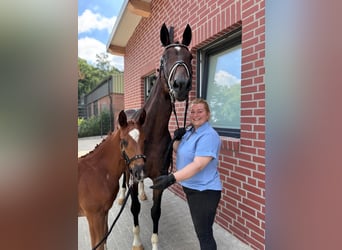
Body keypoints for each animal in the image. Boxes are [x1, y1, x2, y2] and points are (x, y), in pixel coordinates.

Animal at [78, 110, 146, 250]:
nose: (140, 172)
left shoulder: (104, 212)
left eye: (144, 140)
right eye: (124, 141)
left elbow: (104, 239)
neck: (98, 172)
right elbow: (97, 244)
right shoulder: (93, 216)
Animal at [127, 23, 194, 250]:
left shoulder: (159, 178)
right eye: (163, 59)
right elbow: (134, 209)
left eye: (190, 57)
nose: (181, 84)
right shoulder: (132, 174)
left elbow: (155, 212)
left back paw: (142, 193)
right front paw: (137, 242)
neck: (150, 133)